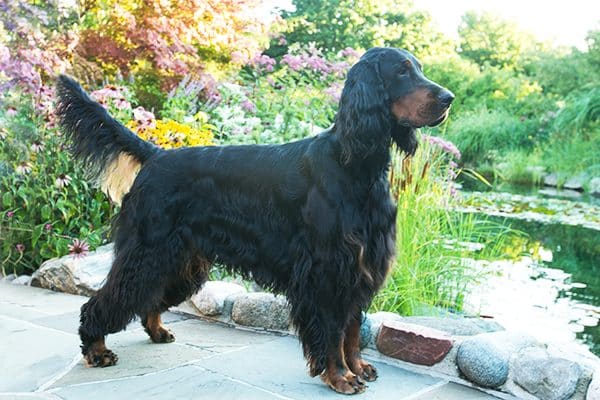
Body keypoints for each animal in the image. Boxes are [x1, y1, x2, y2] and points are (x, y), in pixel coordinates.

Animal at [56, 47, 452, 394]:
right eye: (401, 71)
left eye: (418, 67)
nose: (448, 98)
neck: (355, 165)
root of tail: (155, 155)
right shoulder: (327, 270)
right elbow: (334, 331)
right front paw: (340, 376)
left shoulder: (361, 265)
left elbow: (353, 329)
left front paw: (357, 367)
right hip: (147, 251)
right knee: (104, 300)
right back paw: (96, 348)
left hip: (179, 259)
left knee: (150, 297)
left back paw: (156, 331)